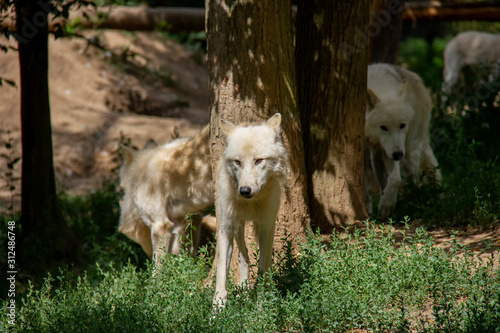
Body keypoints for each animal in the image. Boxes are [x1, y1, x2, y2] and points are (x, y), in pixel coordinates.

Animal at [214, 113, 290, 306]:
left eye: (259, 160)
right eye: (238, 162)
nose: (245, 191)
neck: (249, 203)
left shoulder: (266, 226)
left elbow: (264, 265)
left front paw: (263, 303)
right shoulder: (226, 227)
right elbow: (221, 273)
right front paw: (217, 307)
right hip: (235, 225)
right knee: (243, 254)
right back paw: (243, 291)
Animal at [364, 63, 442, 222]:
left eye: (402, 125)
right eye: (383, 127)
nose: (398, 155)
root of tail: (418, 79)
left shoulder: (391, 151)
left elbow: (396, 178)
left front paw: (387, 205)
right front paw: (369, 206)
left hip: (410, 151)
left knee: (414, 180)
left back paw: (415, 203)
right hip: (379, 155)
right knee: (383, 180)